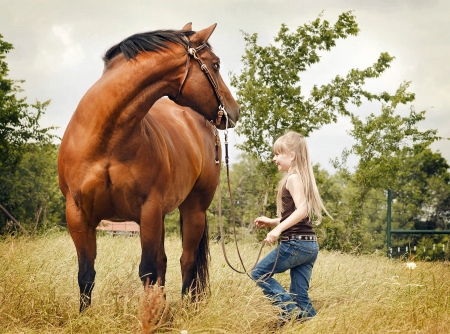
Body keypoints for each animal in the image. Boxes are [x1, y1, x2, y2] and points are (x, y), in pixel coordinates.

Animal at [58, 22, 241, 310]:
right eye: (216, 64)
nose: (233, 112)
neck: (108, 140)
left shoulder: (148, 210)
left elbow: (147, 270)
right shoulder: (77, 213)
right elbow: (86, 273)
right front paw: (84, 315)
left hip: (194, 209)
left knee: (186, 261)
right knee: (165, 262)